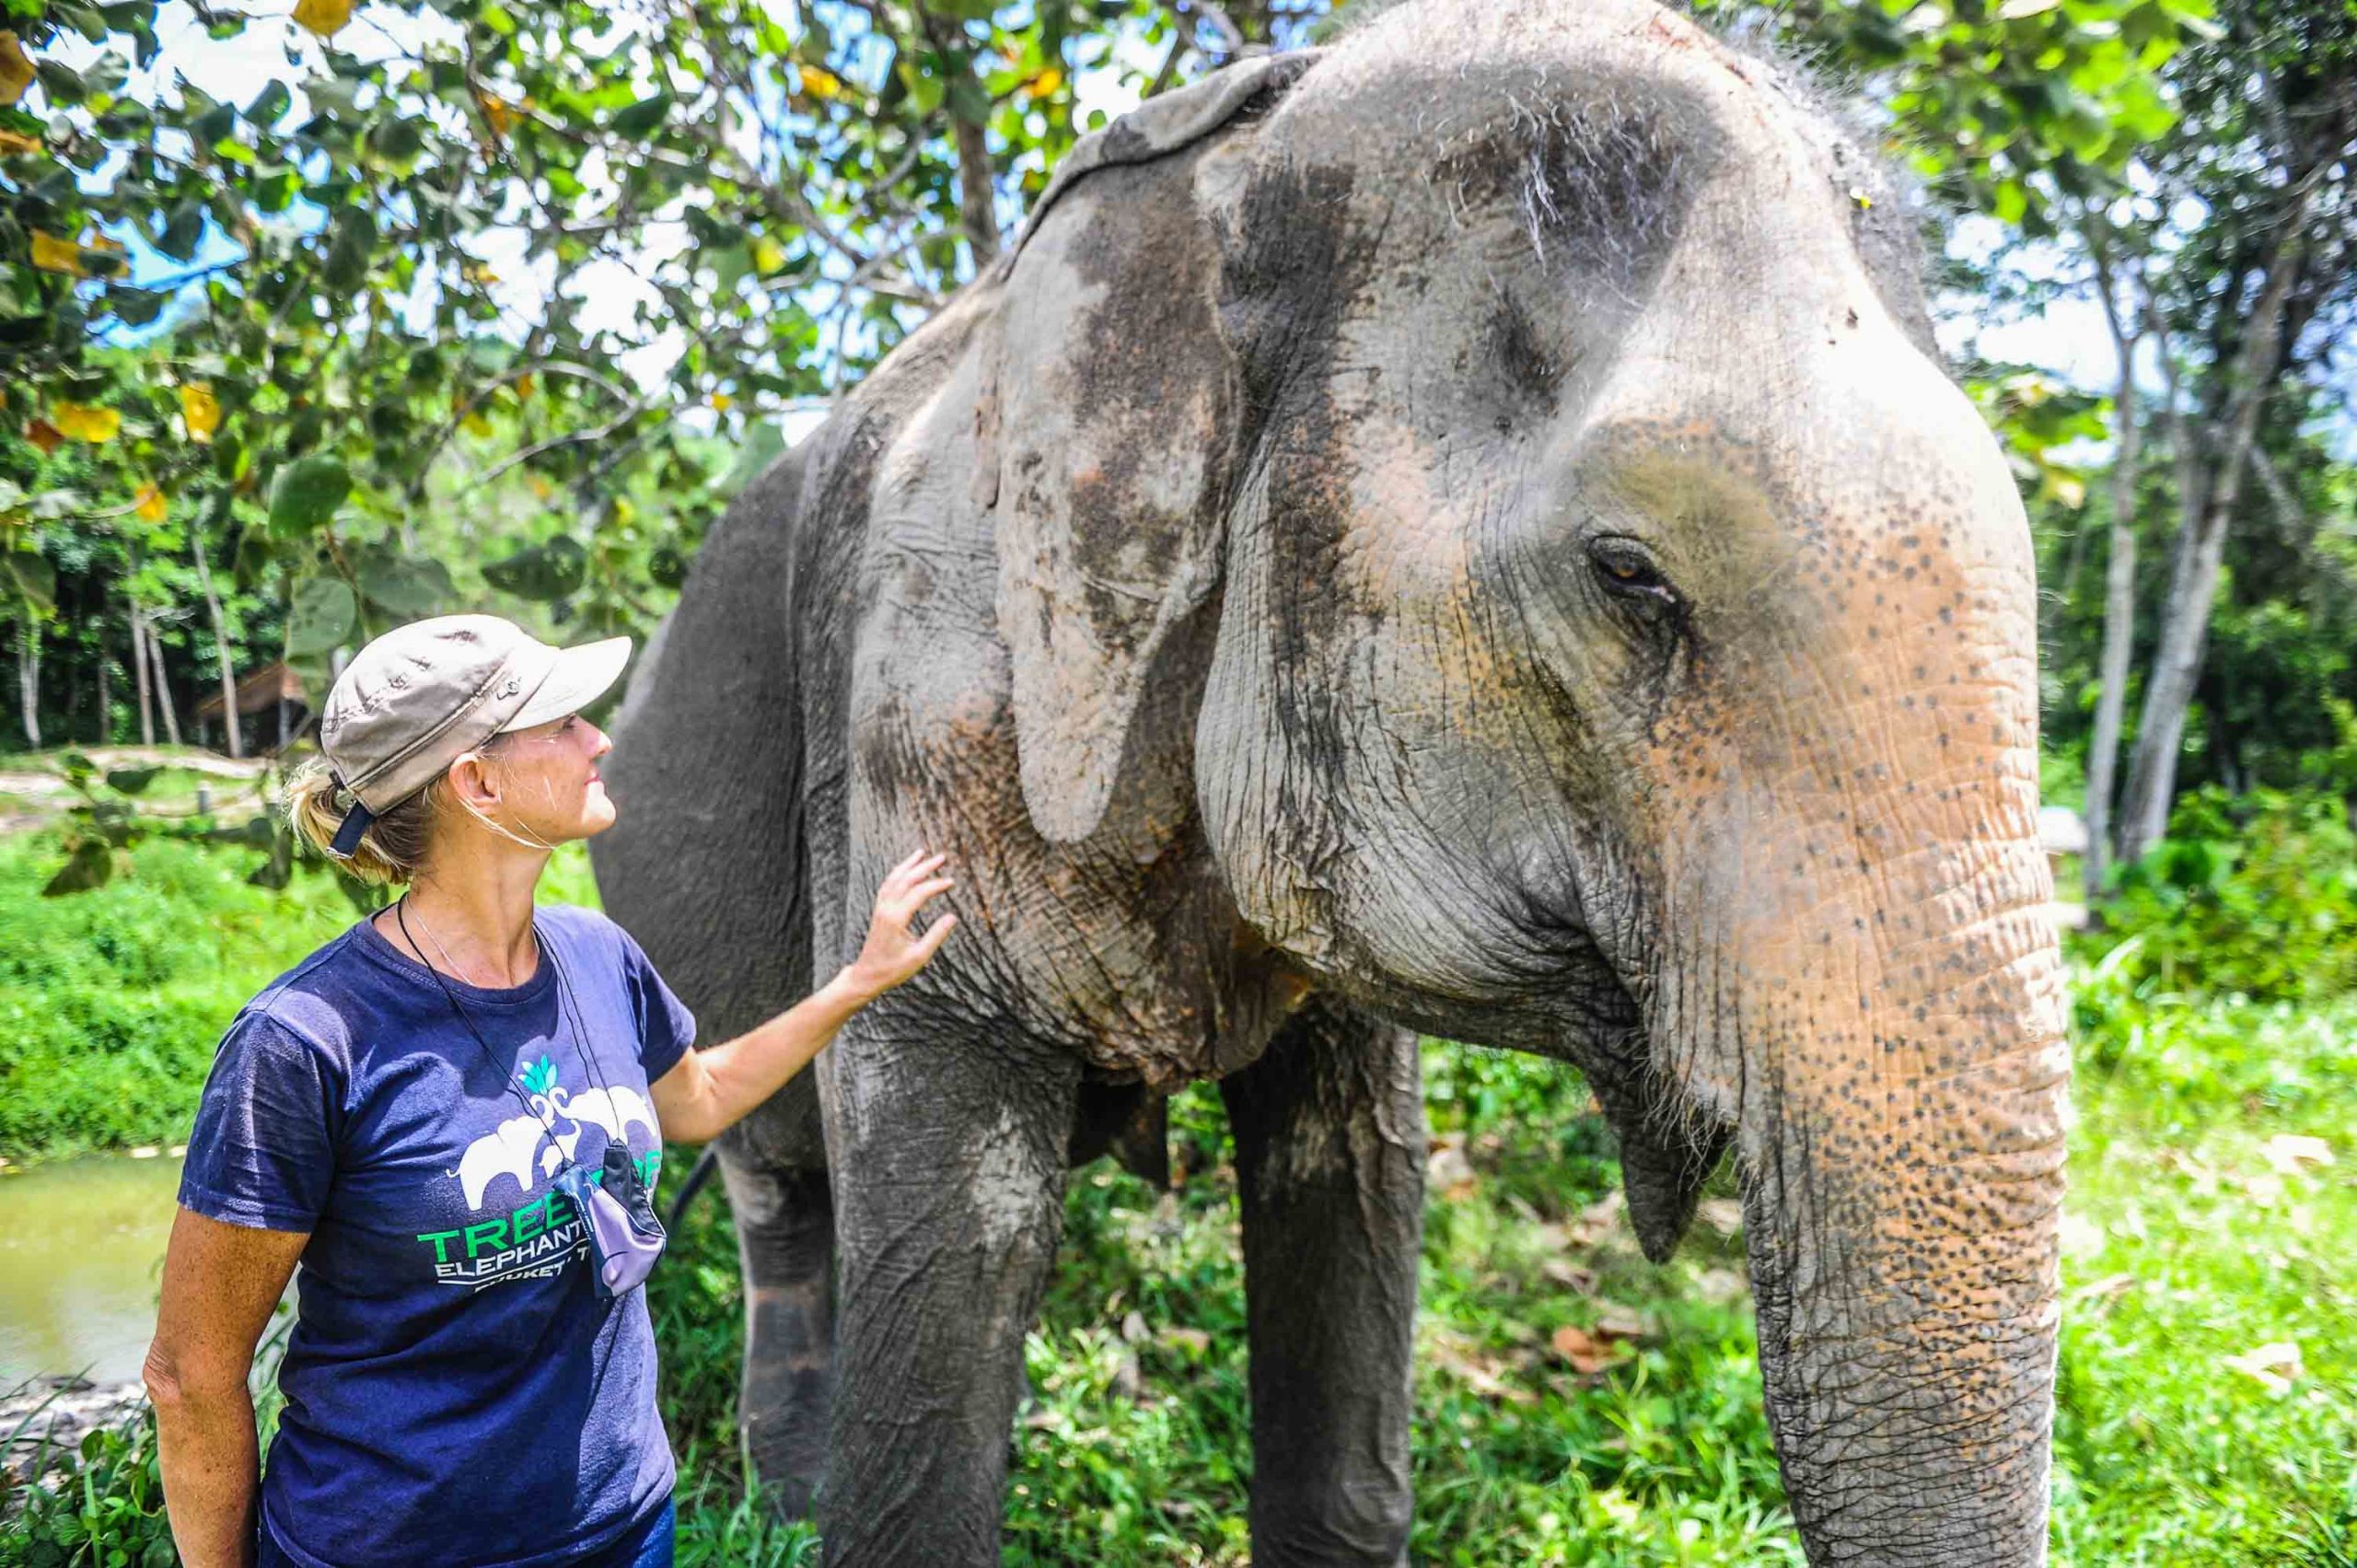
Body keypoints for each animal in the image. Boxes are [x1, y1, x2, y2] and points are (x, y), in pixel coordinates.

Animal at [589, 3, 2064, 1565]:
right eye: (1628, 573)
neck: (1247, 147)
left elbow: (1352, 1173)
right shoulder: (918, 694)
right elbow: (948, 1192)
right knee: (779, 1178)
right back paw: (786, 1494)